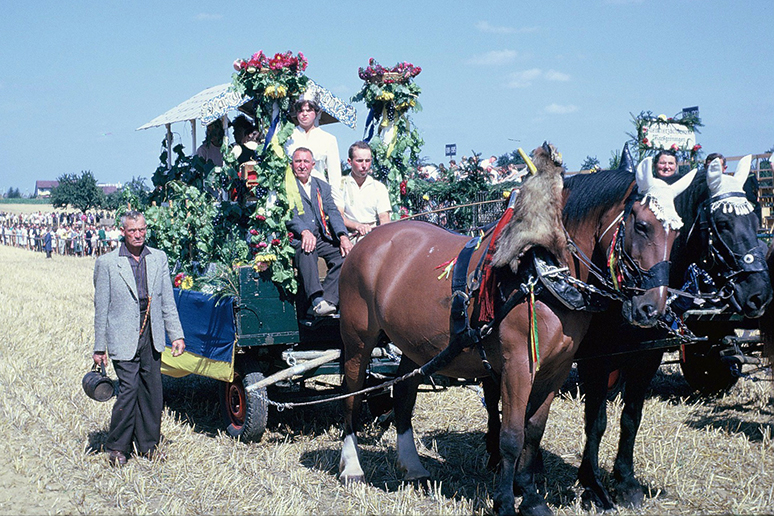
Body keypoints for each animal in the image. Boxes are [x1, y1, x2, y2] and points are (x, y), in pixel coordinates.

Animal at [336, 146, 696, 516]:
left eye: (677, 233)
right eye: (642, 226)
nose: (652, 308)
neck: (541, 272)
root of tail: (369, 239)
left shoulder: (557, 368)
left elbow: (534, 431)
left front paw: (533, 496)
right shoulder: (519, 366)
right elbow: (512, 436)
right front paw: (507, 501)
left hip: (413, 345)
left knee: (404, 393)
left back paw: (411, 465)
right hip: (358, 338)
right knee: (351, 393)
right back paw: (352, 466)